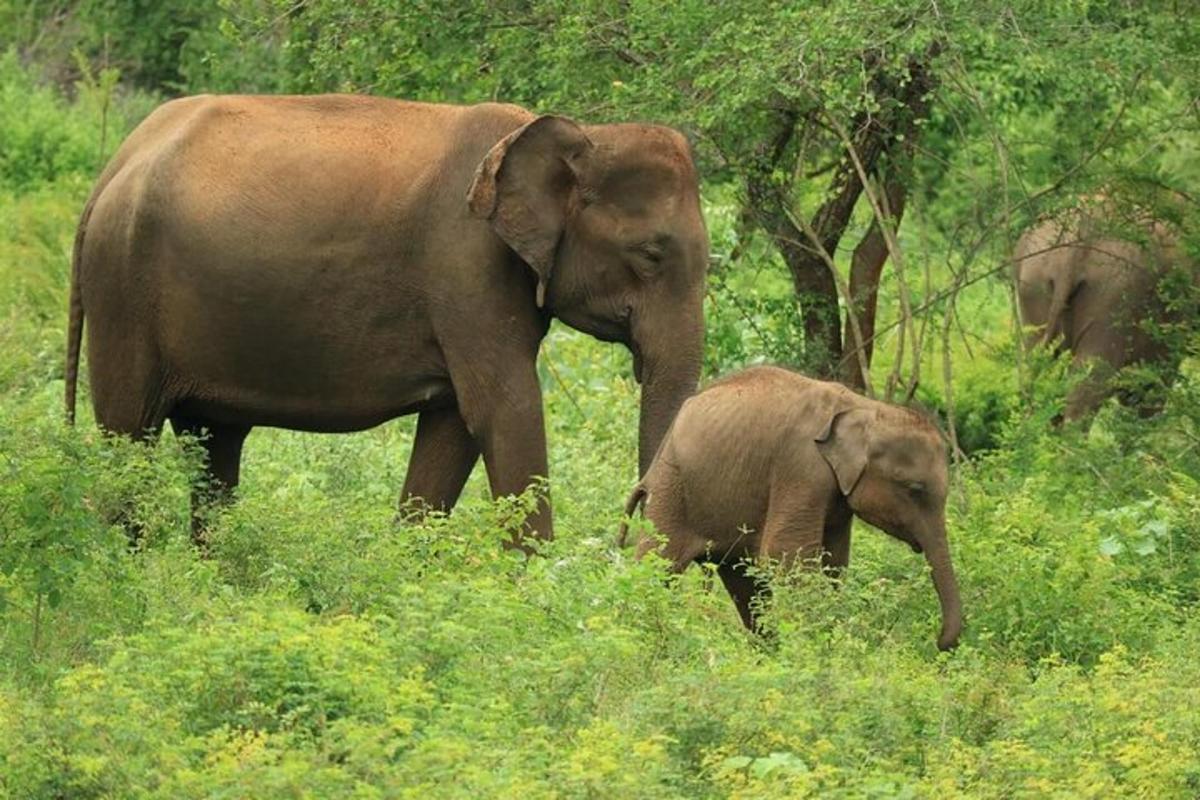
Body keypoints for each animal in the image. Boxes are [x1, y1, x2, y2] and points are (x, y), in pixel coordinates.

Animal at [60, 92, 705, 544]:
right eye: (652, 254)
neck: (572, 133)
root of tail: (114, 165)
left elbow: (453, 426)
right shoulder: (467, 265)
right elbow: (506, 408)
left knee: (213, 446)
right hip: (122, 288)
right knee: (129, 436)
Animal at [624, 367, 960, 652]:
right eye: (915, 489)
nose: (940, 642)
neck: (864, 407)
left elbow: (834, 563)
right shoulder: (802, 468)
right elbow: (786, 554)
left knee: (744, 583)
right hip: (671, 489)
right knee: (658, 566)